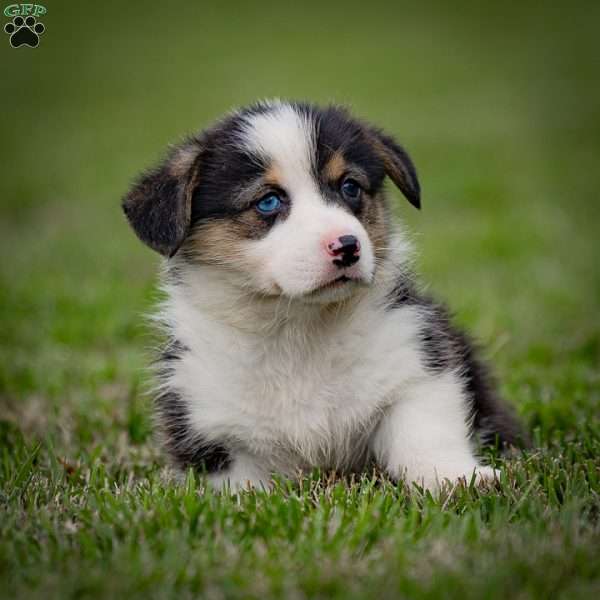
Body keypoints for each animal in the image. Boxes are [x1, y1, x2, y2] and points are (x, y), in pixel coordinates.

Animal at [122, 99, 524, 492]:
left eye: (350, 187)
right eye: (268, 201)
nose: (347, 247)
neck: (299, 327)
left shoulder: (419, 365)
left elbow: (424, 434)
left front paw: (458, 478)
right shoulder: (212, 430)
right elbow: (244, 489)